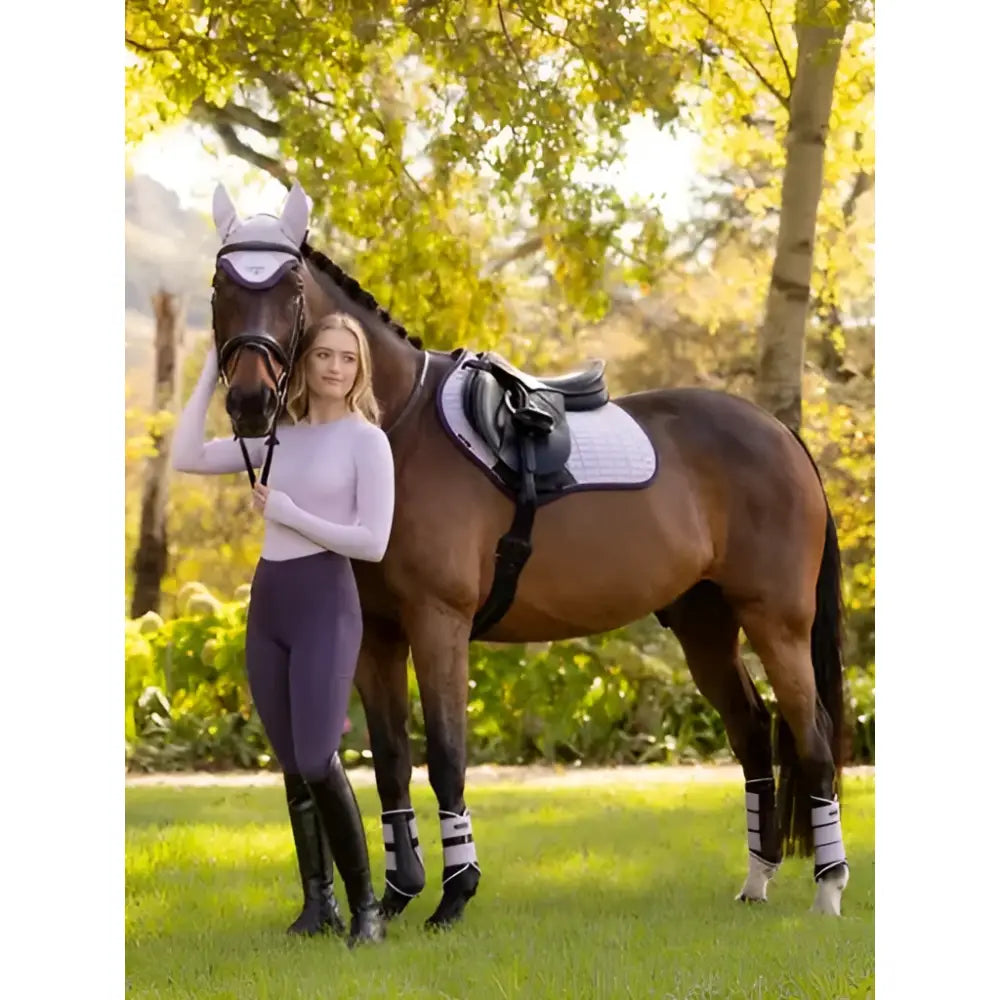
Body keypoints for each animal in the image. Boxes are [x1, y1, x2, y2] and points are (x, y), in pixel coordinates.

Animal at [206, 181, 851, 928]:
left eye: (287, 287)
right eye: (222, 286)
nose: (251, 401)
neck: (394, 431)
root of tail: (778, 432)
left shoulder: (438, 623)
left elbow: (446, 757)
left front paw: (454, 894)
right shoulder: (377, 636)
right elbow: (392, 761)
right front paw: (396, 896)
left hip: (777, 620)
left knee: (812, 735)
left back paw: (829, 887)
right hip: (705, 626)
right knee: (752, 731)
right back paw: (756, 879)